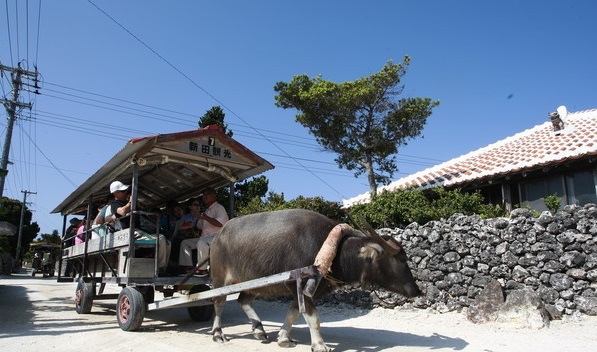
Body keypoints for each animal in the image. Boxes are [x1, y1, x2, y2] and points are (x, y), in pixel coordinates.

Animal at [208, 210, 420, 350]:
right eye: (402, 259)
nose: (417, 290)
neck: (332, 252)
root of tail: (218, 236)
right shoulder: (300, 286)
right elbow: (313, 318)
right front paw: (319, 344)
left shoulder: (300, 290)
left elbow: (293, 314)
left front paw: (283, 338)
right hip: (220, 278)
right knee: (218, 302)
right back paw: (218, 333)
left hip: (253, 283)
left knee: (243, 300)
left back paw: (259, 330)